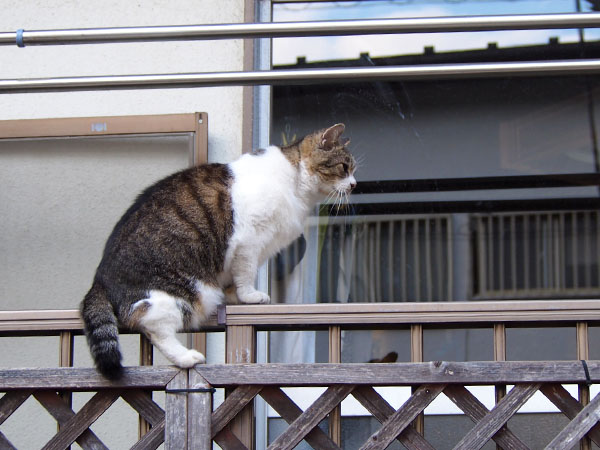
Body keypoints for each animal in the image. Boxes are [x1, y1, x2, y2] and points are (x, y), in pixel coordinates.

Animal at [79, 124, 356, 380]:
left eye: (353, 170)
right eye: (344, 167)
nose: (354, 185)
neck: (295, 181)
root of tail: (99, 279)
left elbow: (234, 280)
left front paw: (234, 297)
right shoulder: (249, 241)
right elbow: (246, 274)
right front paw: (251, 297)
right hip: (185, 292)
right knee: (151, 324)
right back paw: (187, 357)